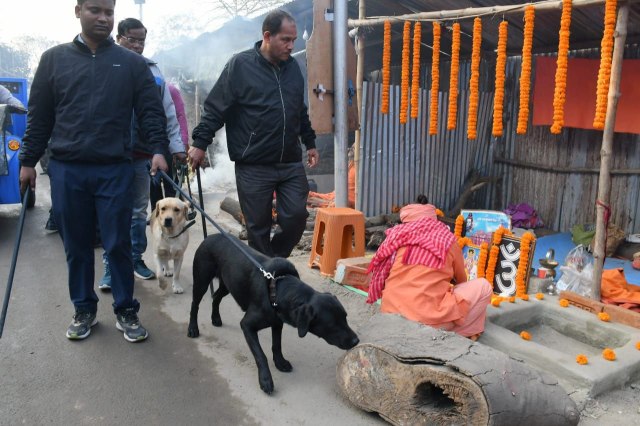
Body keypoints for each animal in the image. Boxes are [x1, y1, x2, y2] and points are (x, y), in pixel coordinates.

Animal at [189, 235, 360, 394]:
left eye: (345, 317)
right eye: (332, 324)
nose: (356, 341)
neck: (279, 289)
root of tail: (210, 237)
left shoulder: (278, 322)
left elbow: (276, 345)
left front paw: (280, 362)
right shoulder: (247, 325)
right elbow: (260, 355)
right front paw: (266, 380)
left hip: (228, 284)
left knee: (216, 297)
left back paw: (215, 318)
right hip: (201, 280)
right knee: (195, 305)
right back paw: (192, 328)